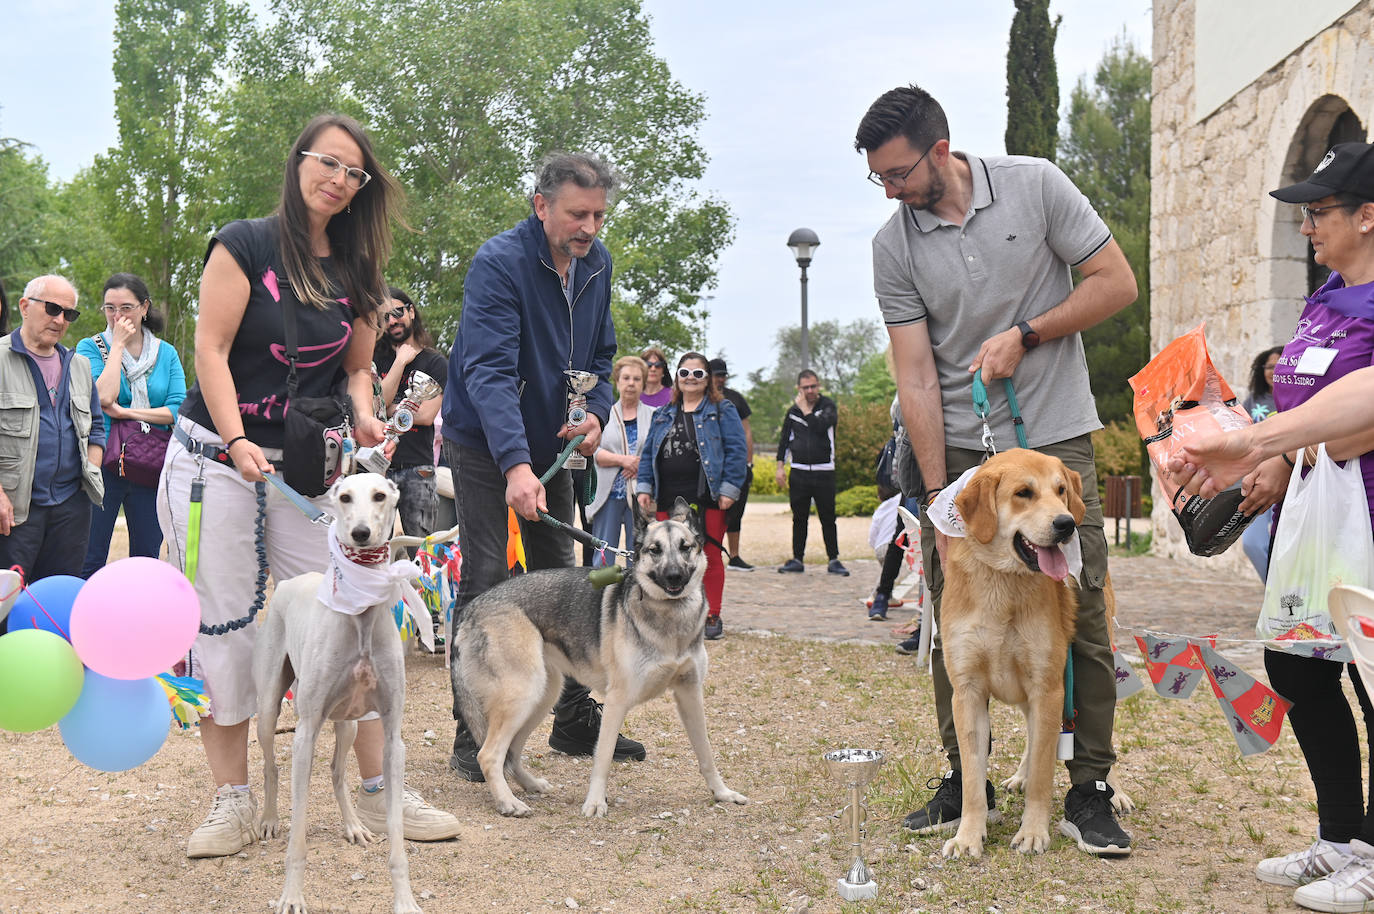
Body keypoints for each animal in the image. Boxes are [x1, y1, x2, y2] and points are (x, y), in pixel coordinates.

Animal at [252, 470, 428, 912]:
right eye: (344, 497)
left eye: (380, 495)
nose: (361, 533)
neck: (360, 613)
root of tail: (292, 580)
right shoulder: (305, 734)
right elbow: (297, 839)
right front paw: (291, 896)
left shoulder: (392, 738)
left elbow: (397, 838)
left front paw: (404, 899)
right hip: (269, 708)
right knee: (270, 765)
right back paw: (268, 819)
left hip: (349, 722)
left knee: (336, 770)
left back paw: (352, 825)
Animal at [456, 500, 747, 819]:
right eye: (654, 550)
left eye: (686, 547)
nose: (674, 577)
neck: (670, 617)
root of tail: (472, 608)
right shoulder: (618, 701)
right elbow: (603, 757)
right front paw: (595, 802)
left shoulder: (690, 694)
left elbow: (706, 752)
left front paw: (721, 792)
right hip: (522, 695)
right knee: (489, 754)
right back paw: (508, 802)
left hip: (542, 696)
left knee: (511, 753)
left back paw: (530, 785)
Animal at [939, 445, 1088, 857]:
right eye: (1024, 493)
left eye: (1061, 490)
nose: (1066, 524)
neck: (1004, 584)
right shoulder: (968, 692)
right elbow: (973, 780)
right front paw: (969, 836)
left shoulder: (1048, 687)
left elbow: (1043, 771)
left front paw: (1034, 831)